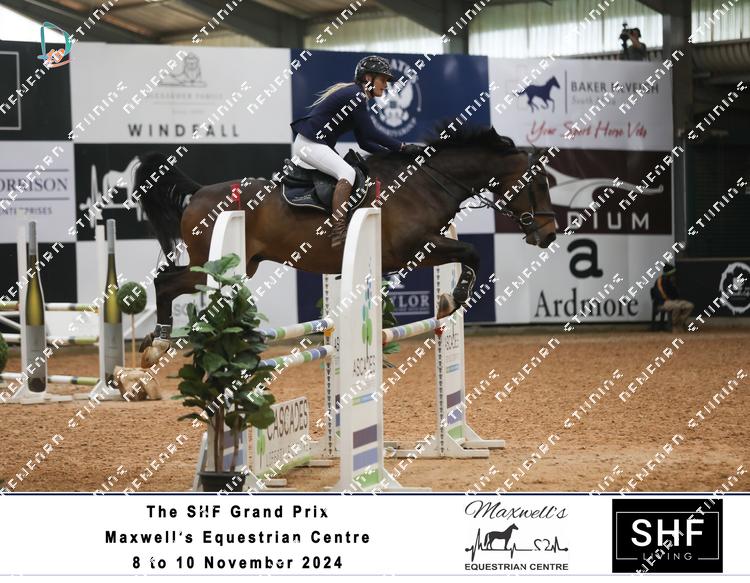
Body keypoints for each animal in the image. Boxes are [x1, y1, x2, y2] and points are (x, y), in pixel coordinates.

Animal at [135, 123, 557, 347]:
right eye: (538, 183)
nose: (550, 234)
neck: (424, 182)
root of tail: (198, 192)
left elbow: (469, 253)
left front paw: (450, 300)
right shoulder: (413, 248)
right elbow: (472, 252)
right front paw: (451, 300)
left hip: (237, 266)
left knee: (166, 281)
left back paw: (158, 340)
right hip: (215, 265)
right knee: (165, 281)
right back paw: (159, 341)